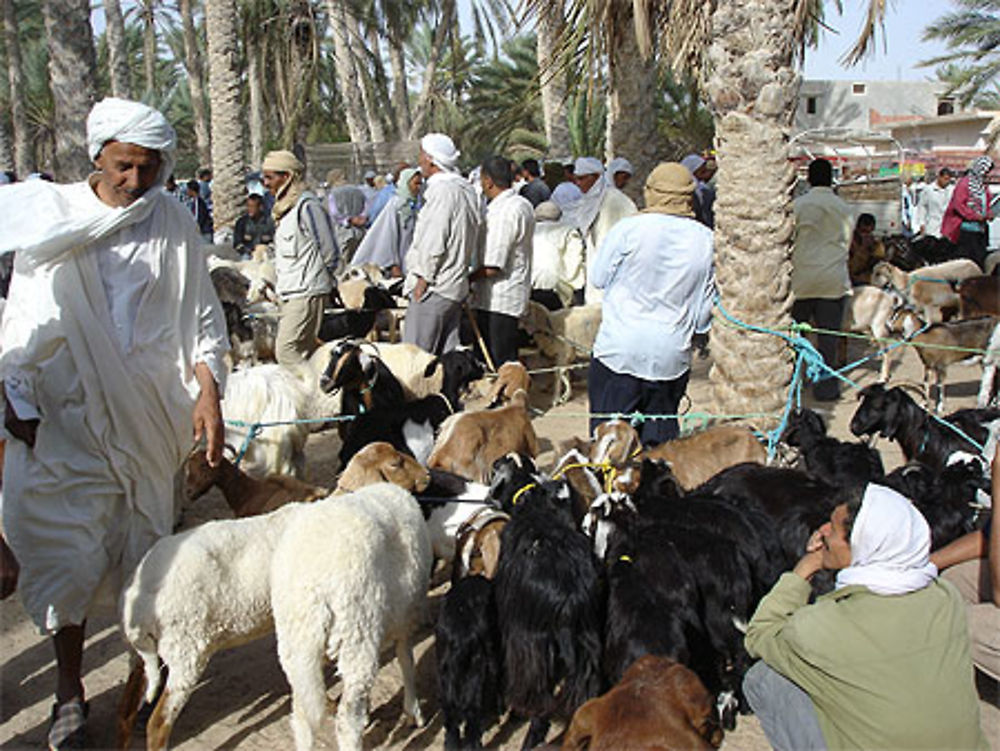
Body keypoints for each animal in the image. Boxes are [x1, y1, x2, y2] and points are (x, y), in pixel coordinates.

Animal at [272, 484, 432, 748]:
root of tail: (311, 588)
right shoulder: (405, 616)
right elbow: (406, 660)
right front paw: (413, 711)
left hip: (295, 648)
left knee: (302, 717)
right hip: (357, 634)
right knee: (347, 721)